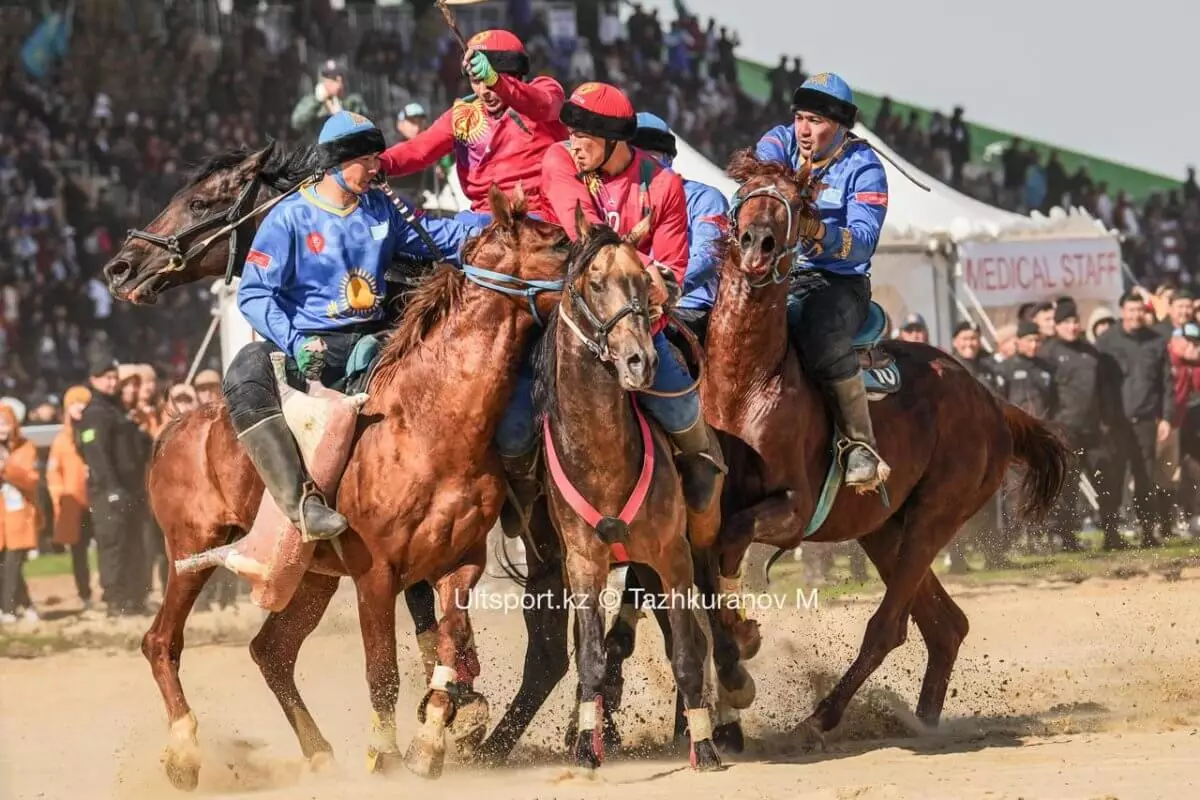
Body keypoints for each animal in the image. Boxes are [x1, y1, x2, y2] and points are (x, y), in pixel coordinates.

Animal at [140, 183, 571, 786]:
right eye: (557, 244)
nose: (126, 267)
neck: (426, 421)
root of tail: (175, 426)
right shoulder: (377, 573)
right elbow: (383, 669)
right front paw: (385, 754)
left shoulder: (459, 562)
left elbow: (450, 645)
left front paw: (432, 741)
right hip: (191, 551)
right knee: (162, 640)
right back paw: (184, 751)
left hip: (310, 575)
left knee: (271, 651)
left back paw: (319, 751)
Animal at [535, 209, 720, 772]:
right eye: (594, 283)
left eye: (644, 280)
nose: (641, 361)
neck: (602, 459)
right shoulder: (583, 563)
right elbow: (591, 659)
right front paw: (585, 748)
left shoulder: (673, 555)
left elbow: (687, 653)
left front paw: (705, 747)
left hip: (689, 559)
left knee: (708, 637)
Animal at [700, 149, 1075, 753]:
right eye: (744, 193)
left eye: (799, 202)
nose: (758, 243)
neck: (747, 383)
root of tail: (990, 400)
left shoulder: (792, 511)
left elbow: (735, 539)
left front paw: (746, 636)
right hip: (883, 528)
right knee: (945, 626)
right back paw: (922, 722)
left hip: (934, 517)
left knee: (891, 626)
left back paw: (823, 718)